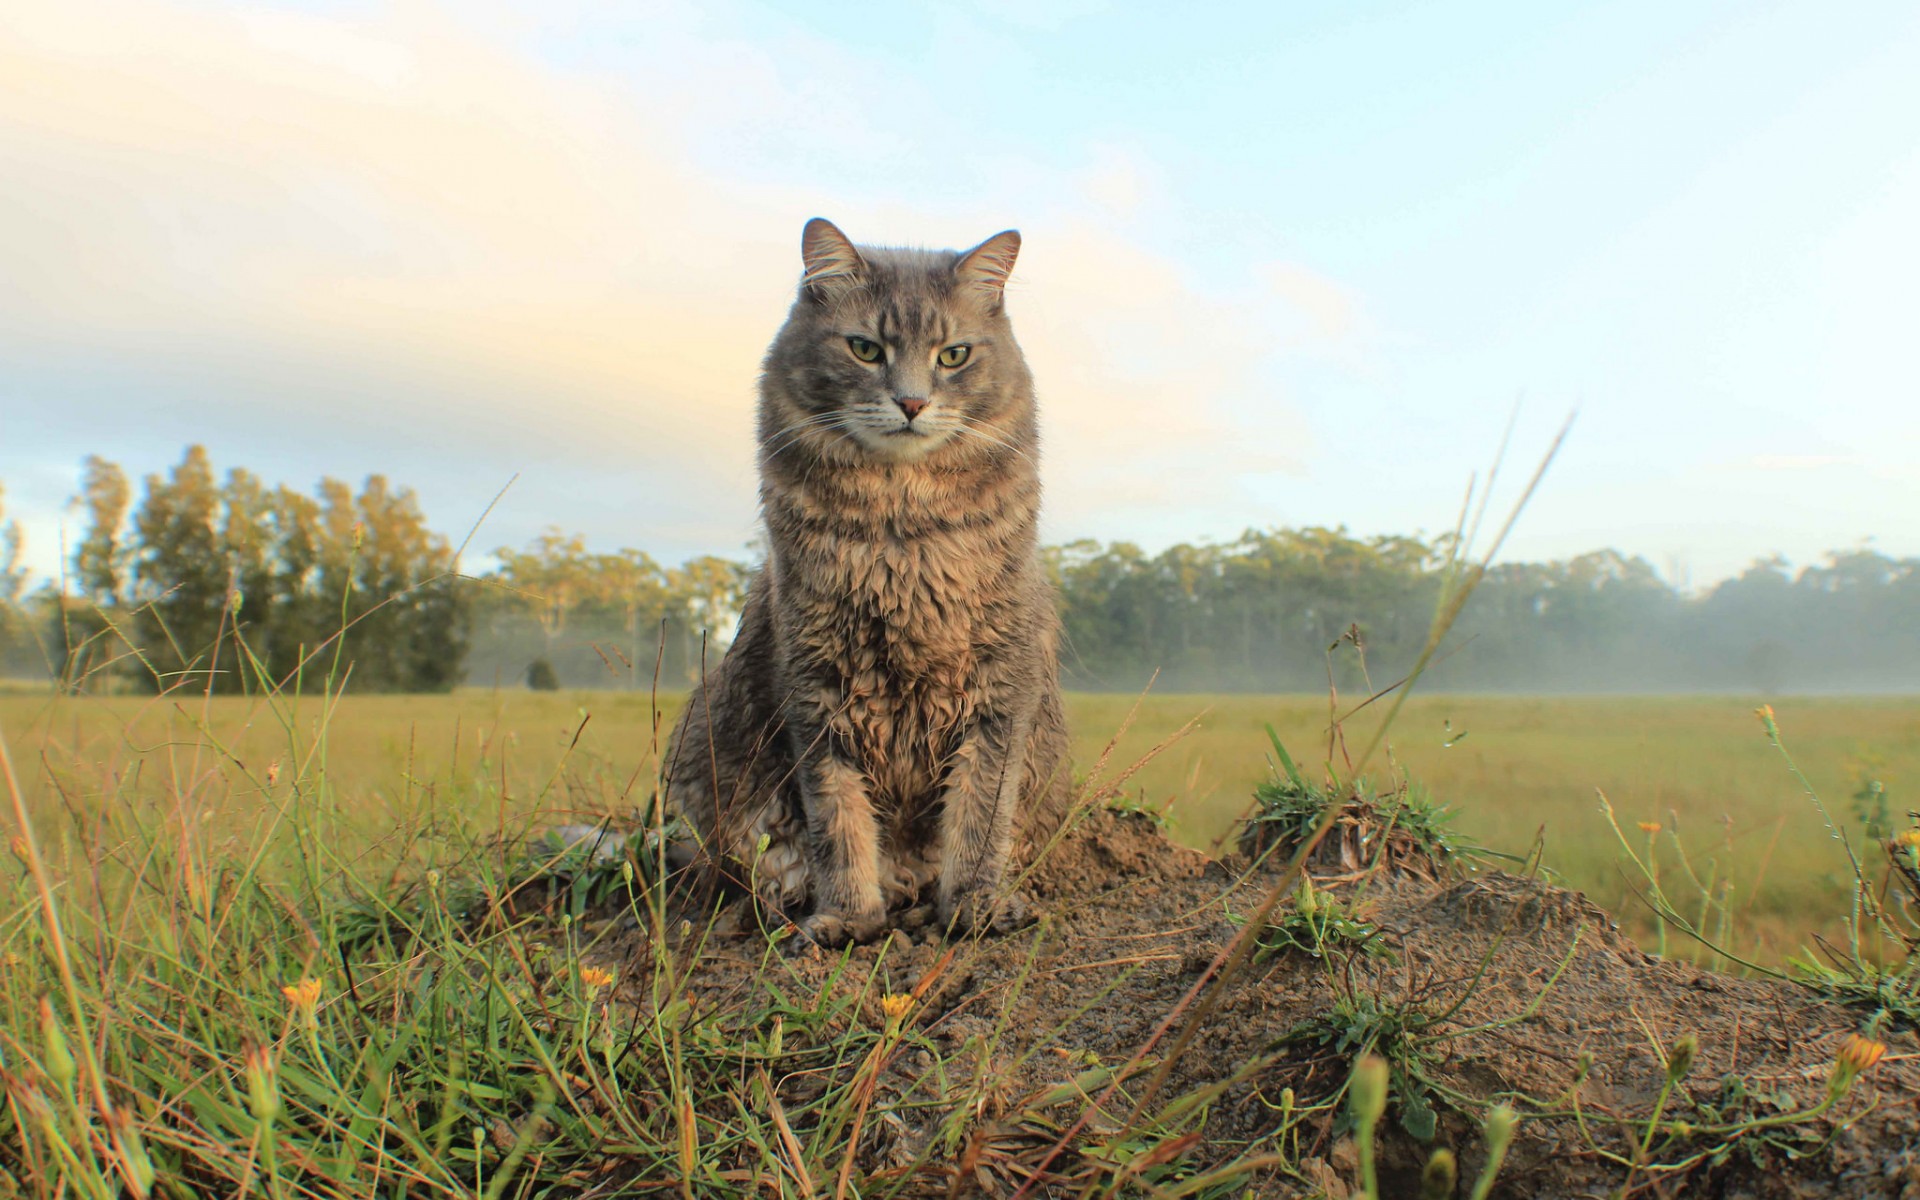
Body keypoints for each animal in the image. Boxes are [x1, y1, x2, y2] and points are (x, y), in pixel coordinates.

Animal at [664, 217, 1075, 944]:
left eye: (952, 355)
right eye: (865, 349)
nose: (911, 401)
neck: (902, 531)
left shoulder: (1001, 690)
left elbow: (979, 817)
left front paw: (973, 905)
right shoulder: (817, 691)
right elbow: (839, 823)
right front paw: (849, 917)